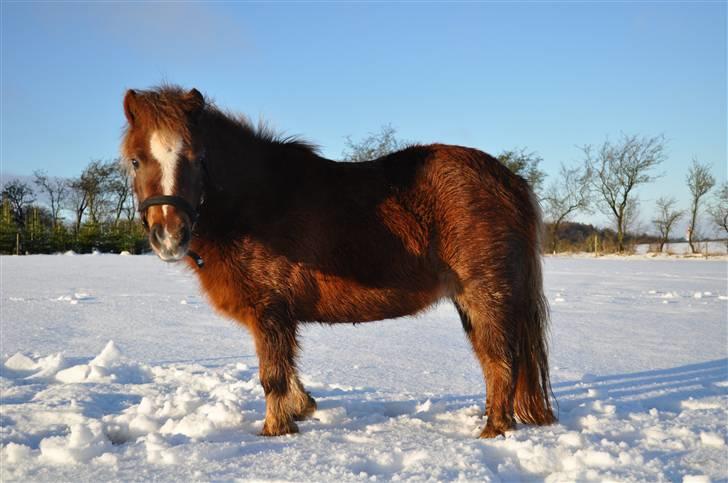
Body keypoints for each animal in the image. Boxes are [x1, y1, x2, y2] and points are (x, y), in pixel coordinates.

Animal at [121, 84, 556, 438]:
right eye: (136, 160)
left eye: (198, 158)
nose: (169, 235)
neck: (254, 201)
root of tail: (509, 180)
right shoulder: (277, 316)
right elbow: (287, 369)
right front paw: (303, 407)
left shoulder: (269, 310)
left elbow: (272, 375)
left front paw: (276, 429)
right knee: (492, 358)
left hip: (487, 295)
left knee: (501, 360)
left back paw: (493, 430)